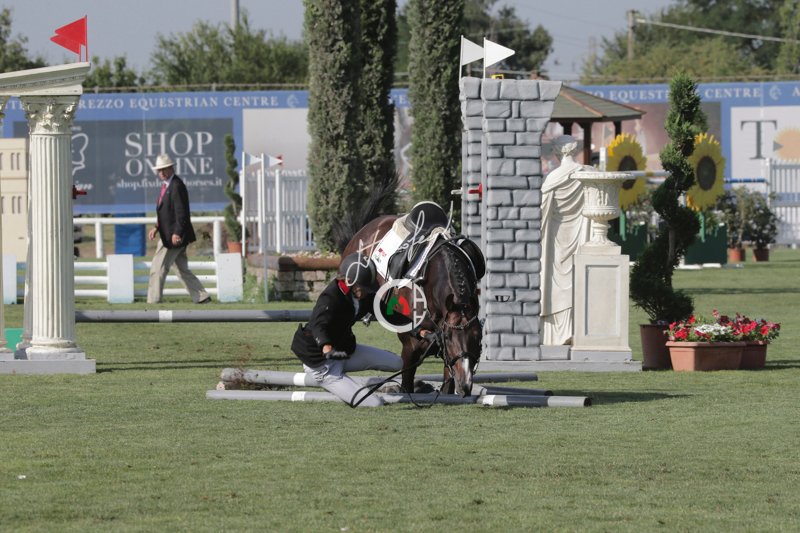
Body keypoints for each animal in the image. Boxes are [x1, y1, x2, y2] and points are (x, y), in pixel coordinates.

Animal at [342, 210, 484, 397]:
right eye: (448, 337)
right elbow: (406, 386)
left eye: (478, 336)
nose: (465, 385)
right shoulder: (410, 348)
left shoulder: (448, 357)